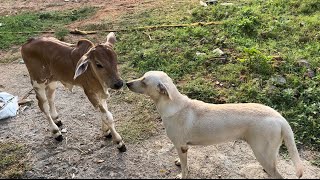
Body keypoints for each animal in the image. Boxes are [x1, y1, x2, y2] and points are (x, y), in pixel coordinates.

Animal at [126, 70, 304, 179]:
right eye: (142, 77)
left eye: (144, 81)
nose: (126, 83)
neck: (172, 104)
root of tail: (280, 118)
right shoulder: (184, 147)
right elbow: (183, 162)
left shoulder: (181, 146)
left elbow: (184, 168)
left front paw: (182, 173)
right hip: (269, 154)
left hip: (262, 153)